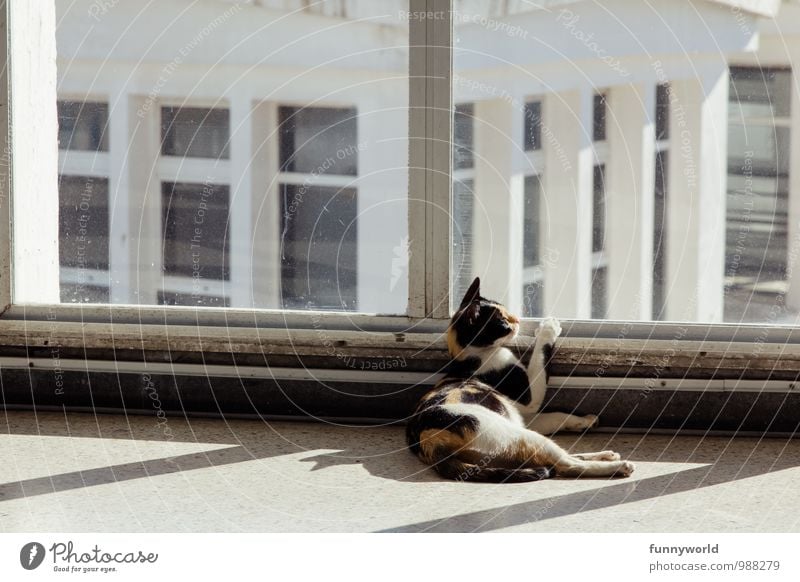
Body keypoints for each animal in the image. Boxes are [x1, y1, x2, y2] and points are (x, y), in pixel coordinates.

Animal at [410, 278, 636, 484]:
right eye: (502, 322)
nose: (518, 320)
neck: (467, 359)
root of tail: (428, 442)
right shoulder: (529, 399)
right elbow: (540, 357)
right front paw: (548, 328)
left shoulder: (526, 416)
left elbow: (556, 416)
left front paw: (583, 421)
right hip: (515, 434)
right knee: (566, 464)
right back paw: (619, 466)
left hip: (517, 435)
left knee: (557, 458)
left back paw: (605, 452)